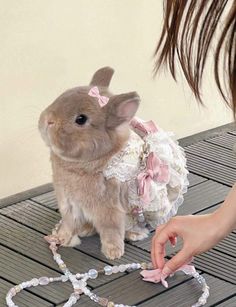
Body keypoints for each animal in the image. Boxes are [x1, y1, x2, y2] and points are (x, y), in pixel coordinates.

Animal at [39, 67, 190, 260]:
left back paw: (135, 234)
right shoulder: (69, 204)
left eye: (81, 119)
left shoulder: (110, 210)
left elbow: (111, 231)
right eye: (61, 96)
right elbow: (68, 223)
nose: (48, 120)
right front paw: (62, 239)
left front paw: (113, 253)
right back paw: (85, 230)